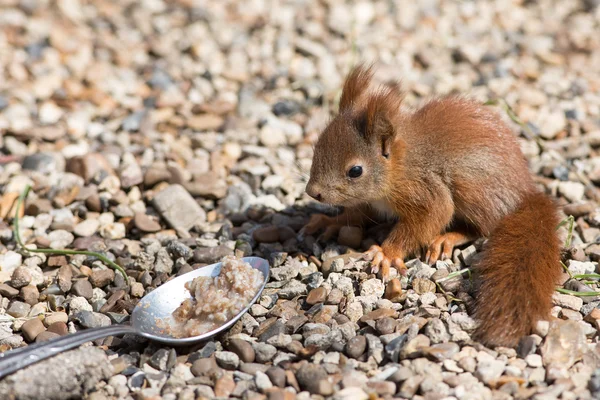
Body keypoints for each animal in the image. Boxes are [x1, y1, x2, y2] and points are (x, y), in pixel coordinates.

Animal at [304, 65, 564, 346]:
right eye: (317, 147)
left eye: (355, 171)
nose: (312, 192)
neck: (399, 165)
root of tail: (524, 192)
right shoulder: (370, 201)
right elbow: (355, 212)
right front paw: (330, 221)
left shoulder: (424, 190)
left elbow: (433, 215)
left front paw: (386, 253)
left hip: (472, 187)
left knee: (483, 228)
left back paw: (447, 238)